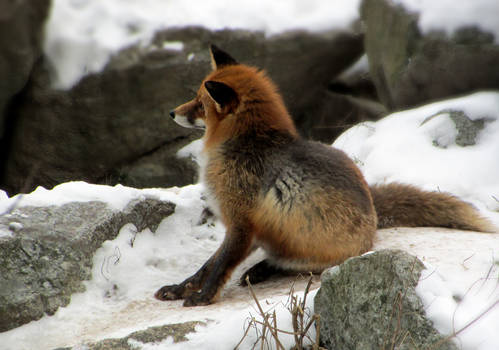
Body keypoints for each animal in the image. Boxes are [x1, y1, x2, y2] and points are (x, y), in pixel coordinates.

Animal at [155, 45, 496, 306]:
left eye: (200, 104)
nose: (171, 113)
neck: (248, 144)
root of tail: (373, 212)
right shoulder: (246, 225)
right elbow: (206, 265)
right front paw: (180, 288)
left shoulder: (241, 222)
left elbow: (219, 267)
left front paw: (203, 297)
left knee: (291, 265)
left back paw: (265, 269)